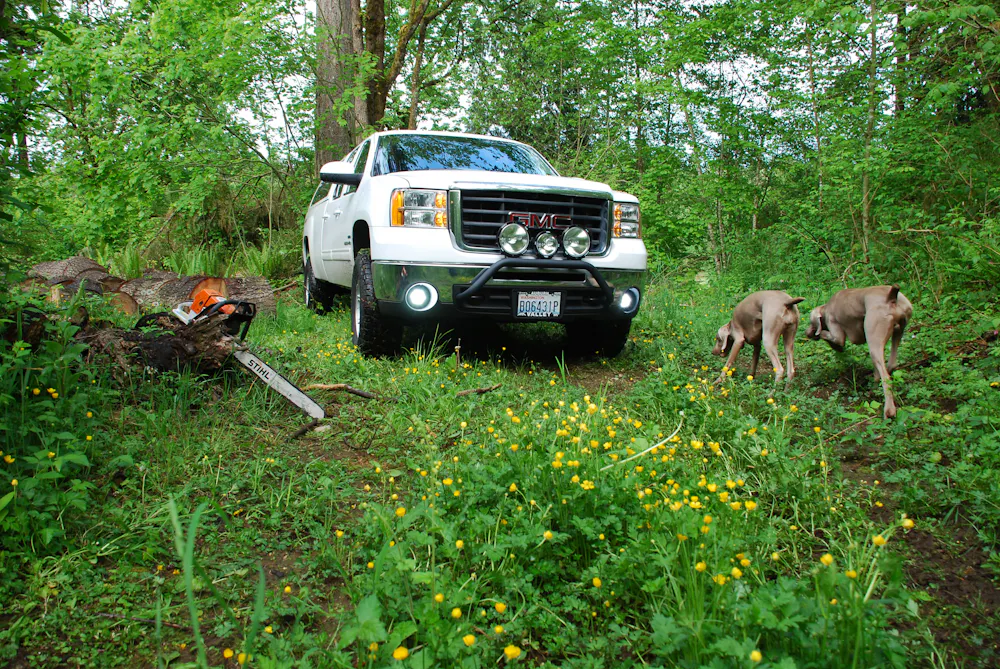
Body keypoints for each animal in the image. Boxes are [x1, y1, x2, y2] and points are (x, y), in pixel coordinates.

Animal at [805, 285, 913, 419]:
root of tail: (891, 297)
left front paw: (832, 344)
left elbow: (827, 336)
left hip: (874, 339)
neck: (827, 308)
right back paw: (873, 390)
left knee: (886, 377)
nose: (806, 332)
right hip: (896, 332)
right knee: (890, 365)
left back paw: (889, 411)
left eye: (811, 321)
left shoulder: (836, 331)